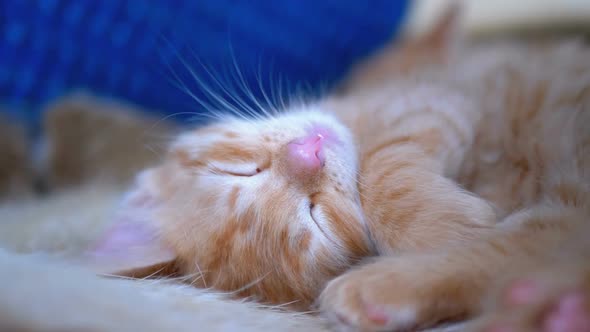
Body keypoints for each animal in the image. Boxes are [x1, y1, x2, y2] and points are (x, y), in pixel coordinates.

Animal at [88, 5, 590, 330]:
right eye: (317, 216)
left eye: (243, 170)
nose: (307, 152)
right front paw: (449, 234)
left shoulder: (438, 98)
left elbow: (385, 172)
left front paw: (440, 226)